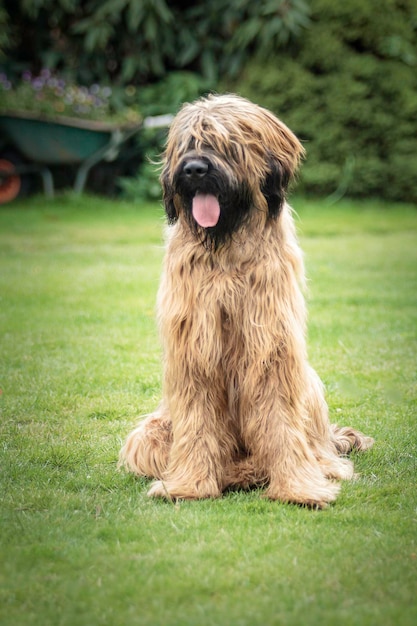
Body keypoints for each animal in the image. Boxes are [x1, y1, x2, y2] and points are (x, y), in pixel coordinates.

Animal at [118, 92, 372, 504]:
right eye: (188, 143)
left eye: (226, 145)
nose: (193, 170)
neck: (225, 244)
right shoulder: (194, 350)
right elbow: (198, 419)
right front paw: (188, 486)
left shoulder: (271, 343)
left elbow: (282, 421)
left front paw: (298, 488)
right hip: (151, 431)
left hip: (310, 389)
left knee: (319, 450)